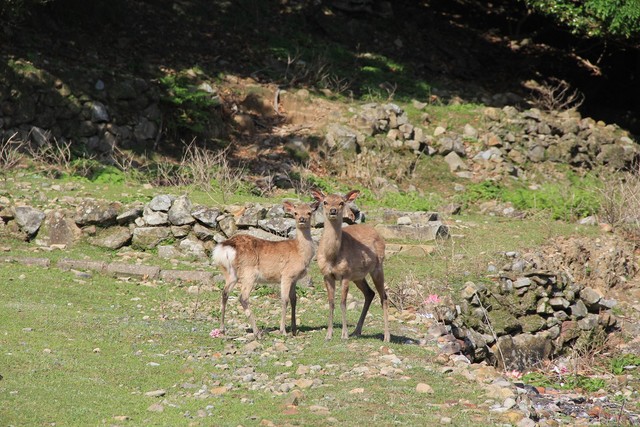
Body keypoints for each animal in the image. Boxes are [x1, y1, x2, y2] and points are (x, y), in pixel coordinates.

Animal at [211, 201, 318, 342]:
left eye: (309, 212)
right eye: (295, 212)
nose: (302, 219)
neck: (300, 253)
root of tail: (225, 247)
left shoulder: (295, 279)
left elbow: (294, 299)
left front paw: (294, 330)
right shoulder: (286, 274)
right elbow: (284, 299)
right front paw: (283, 331)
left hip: (229, 273)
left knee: (224, 293)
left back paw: (222, 329)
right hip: (249, 272)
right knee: (243, 297)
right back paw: (258, 333)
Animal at [310, 189, 390, 342]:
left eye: (341, 202)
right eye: (325, 202)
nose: (333, 210)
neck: (332, 257)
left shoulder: (345, 274)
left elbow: (342, 302)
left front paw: (344, 334)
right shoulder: (326, 275)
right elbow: (331, 302)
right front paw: (328, 335)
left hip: (378, 267)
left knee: (383, 296)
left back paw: (386, 337)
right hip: (358, 276)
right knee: (370, 293)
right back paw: (356, 331)